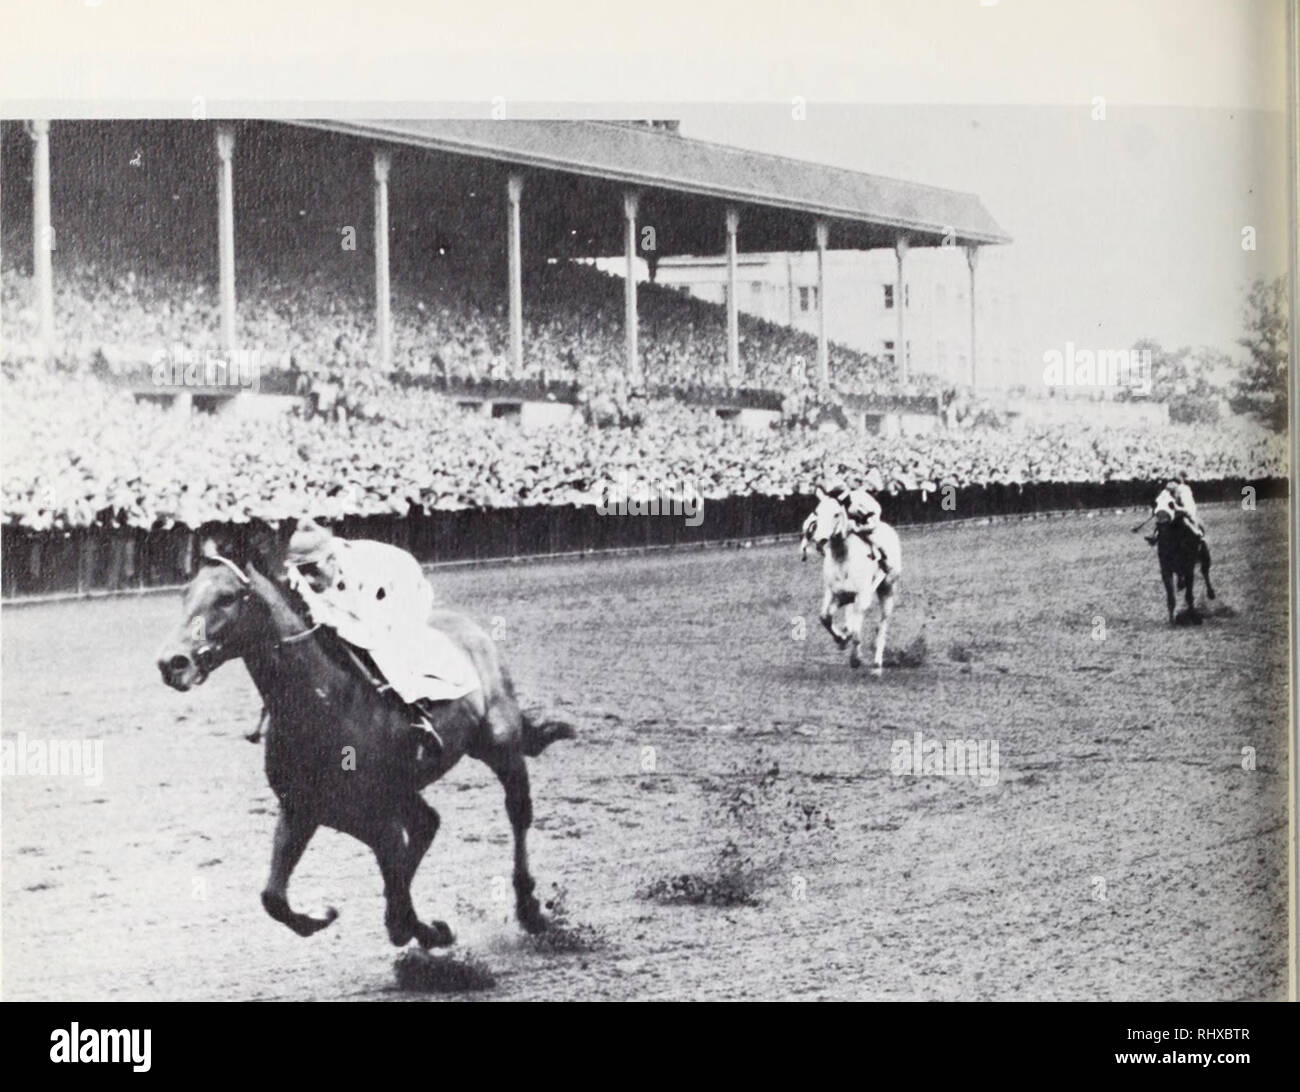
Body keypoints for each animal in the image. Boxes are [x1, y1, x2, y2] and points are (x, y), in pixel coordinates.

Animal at [157, 527, 574, 946]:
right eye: (184, 593)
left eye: (227, 598)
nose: (171, 663)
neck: (322, 702)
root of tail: (472, 631)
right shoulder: (303, 808)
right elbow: (273, 897)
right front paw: (321, 916)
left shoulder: (376, 814)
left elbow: (398, 892)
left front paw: (429, 929)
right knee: (427, 822)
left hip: (499, 744)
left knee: (517, 811)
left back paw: (529, 907)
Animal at [795, 491, 899, 676]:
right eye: (817, 512)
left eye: (836, 514)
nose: (821, 540)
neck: (843, 558)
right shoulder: (833, 593)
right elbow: (825, 618)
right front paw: (841, 639)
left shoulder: (862, 597)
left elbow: (856, 633)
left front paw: (855, 658)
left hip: (887, 591)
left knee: (882, 626)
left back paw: (877, 665)